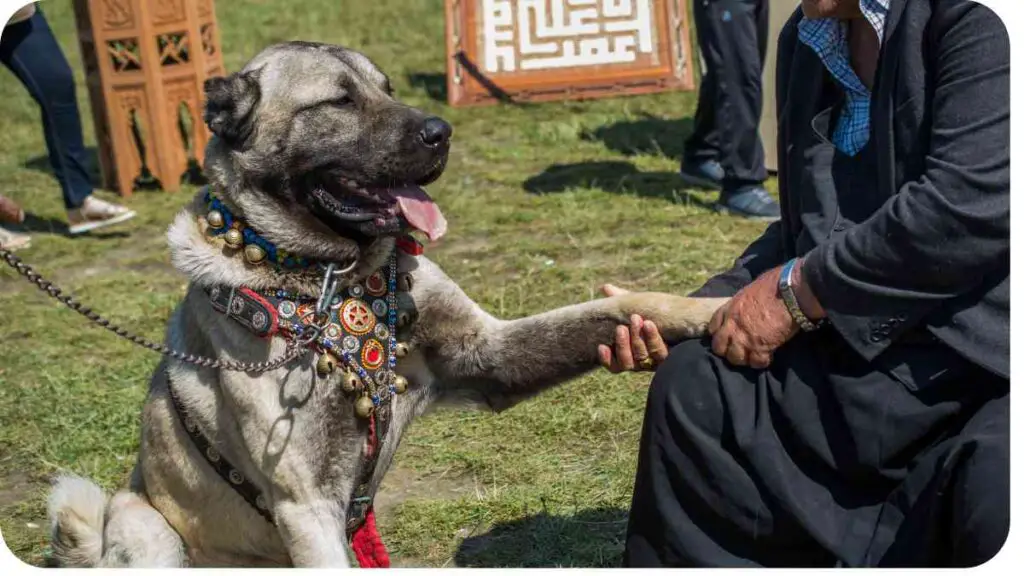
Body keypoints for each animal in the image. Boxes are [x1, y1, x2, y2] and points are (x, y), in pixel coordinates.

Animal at [48, 43, 729, 565]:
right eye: (338, 101)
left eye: (387, 88)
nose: (442, 132)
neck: (332, 283)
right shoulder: (307, 507)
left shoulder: (490, 354)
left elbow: (625, 305)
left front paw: (721, 310)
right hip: (141, 522)